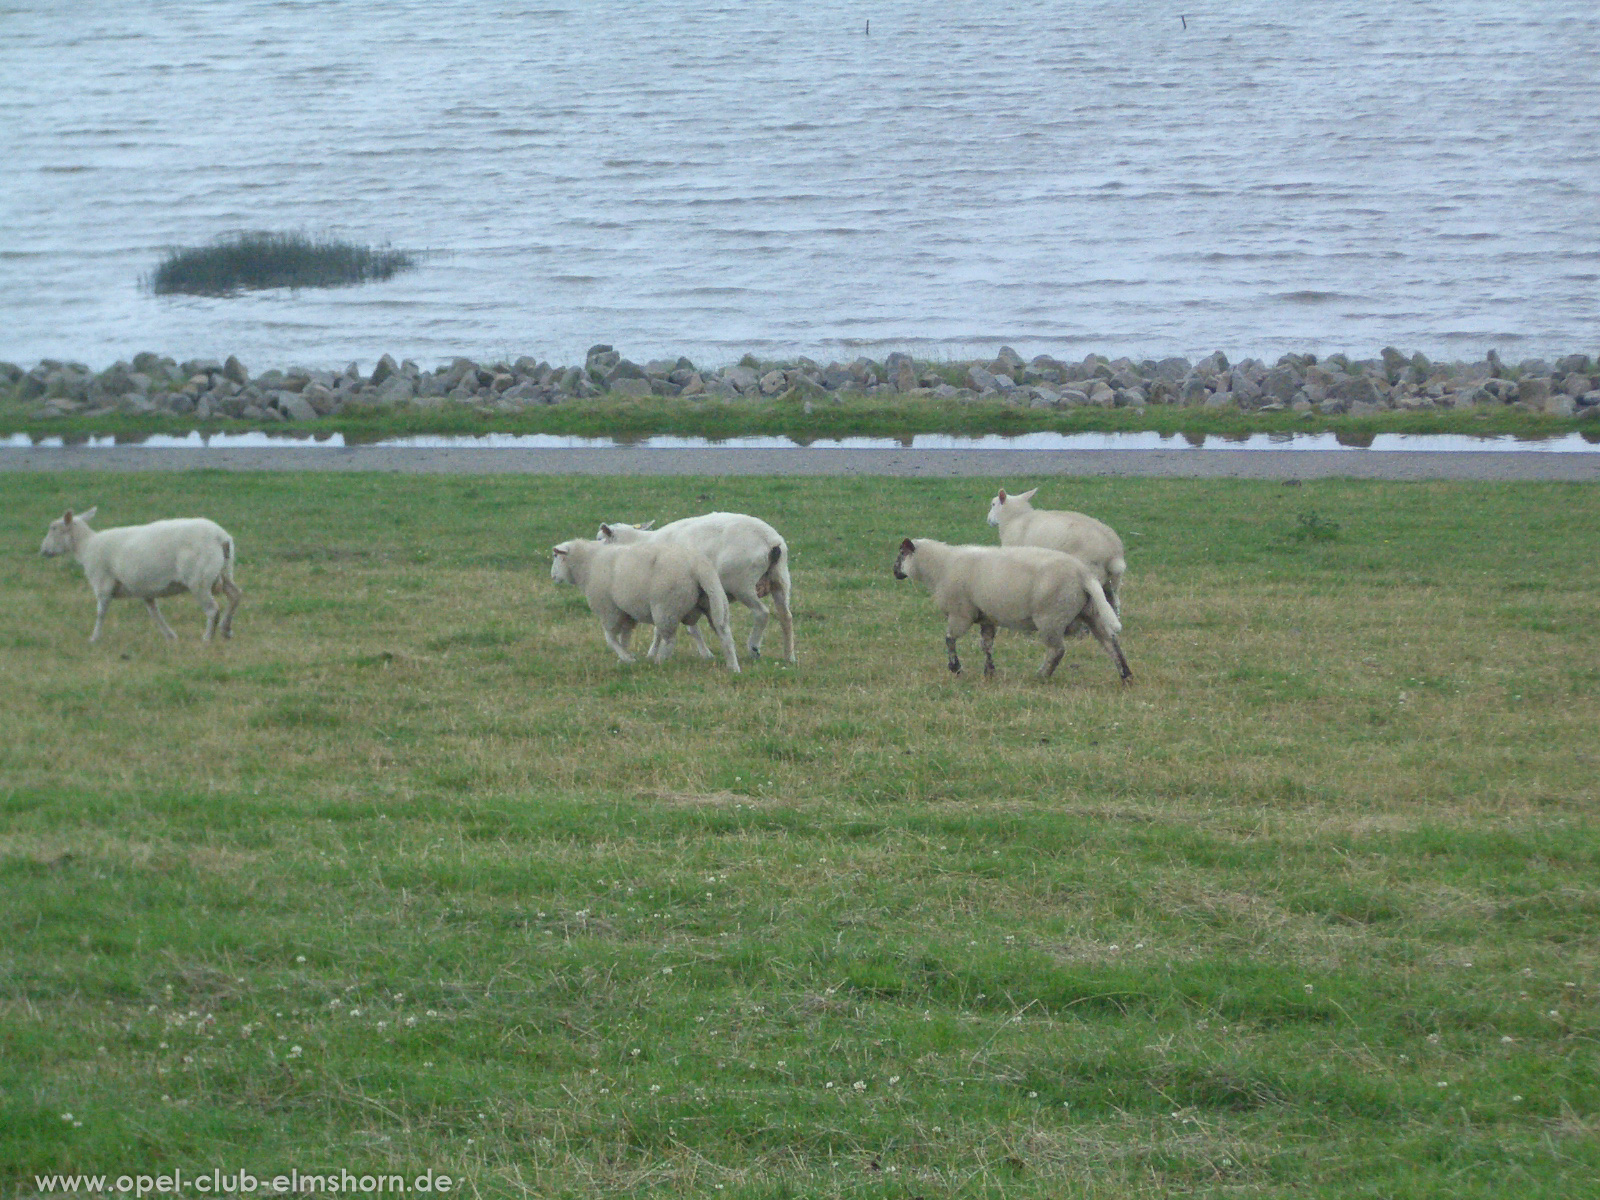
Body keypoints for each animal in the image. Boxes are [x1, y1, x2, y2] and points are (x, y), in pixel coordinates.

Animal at [37, 505, 241, 643]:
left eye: (53, 528)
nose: (43, 551)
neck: (86, 545)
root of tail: (220, 537)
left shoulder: (103, 583)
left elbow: (101, 613)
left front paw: (94, 638)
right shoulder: (145, 589)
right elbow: (155, 613)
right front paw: (170, 636)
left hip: (199, 579)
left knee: (212, 609)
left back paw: (207, 638)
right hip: (224, 571)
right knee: (235, 595)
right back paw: (226, 629)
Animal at [553, 537, 739, 672]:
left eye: (556, 557)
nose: (553, 576)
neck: (588, 565)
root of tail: (698, 565)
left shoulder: (609, 610)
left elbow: (610, 638)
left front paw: (627, 658)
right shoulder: (626, 612)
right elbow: (625, 637)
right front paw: (625, 658)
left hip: (666, 607)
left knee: (670, 640)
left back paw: (659, 662)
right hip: (713, 600)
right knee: (725, 634)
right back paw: (733, 667)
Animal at [598, 512, 796, 668]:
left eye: (599, 539)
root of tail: (769, 541)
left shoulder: (666, 593)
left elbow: (676, 629)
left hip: (742, 583)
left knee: (762, 613)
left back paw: (754, 648)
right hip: (780, 578)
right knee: (786, 617)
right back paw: (789, 656)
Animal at [896, 537, 1132, 684]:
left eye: (901, 554)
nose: (894, 572)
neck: (940, 566)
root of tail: (1084, 574)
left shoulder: (960, 614)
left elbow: (949, 640)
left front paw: (955, 668)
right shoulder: (986, 617)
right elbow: (986, 645)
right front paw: (989, 672)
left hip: (1051, 617)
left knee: (1057, 650)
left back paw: (1041, 675)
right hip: (1091, 612)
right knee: (1110, 643)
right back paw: (1125, 675)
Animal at [979, 489, 1132, 614]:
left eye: (993, 504)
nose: (988, 520)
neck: (1015, 518)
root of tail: (1114, 553)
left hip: (1091, 573)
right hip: (1113, 580)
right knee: (1114, 604)